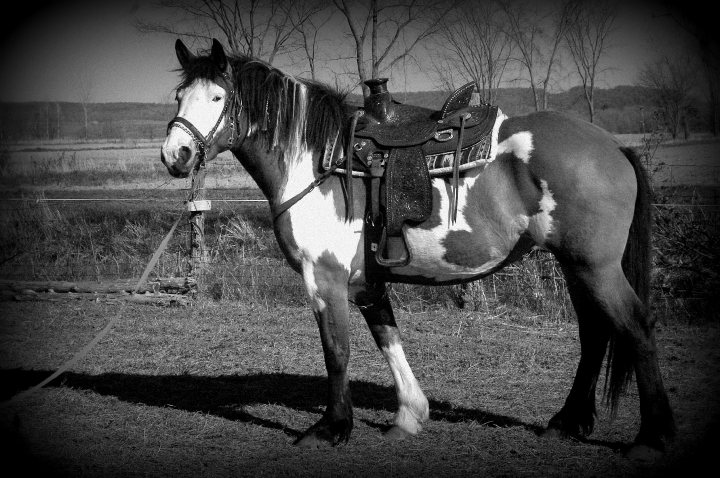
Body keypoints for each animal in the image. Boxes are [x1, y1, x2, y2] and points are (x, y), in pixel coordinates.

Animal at [160, 39, 675, 459]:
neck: (319, 163)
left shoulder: (323, 276)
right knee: (595, 334)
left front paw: (332, 429)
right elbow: (387, 338)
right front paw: (409, 415)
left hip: (595, 266)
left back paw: (652, 437)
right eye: (179, 97)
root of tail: (612, 145)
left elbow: (336, 350)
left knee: (635, 326)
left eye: (218, 97)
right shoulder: (367, 282)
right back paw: (567, 422)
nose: (175, 155)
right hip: (575, 265)